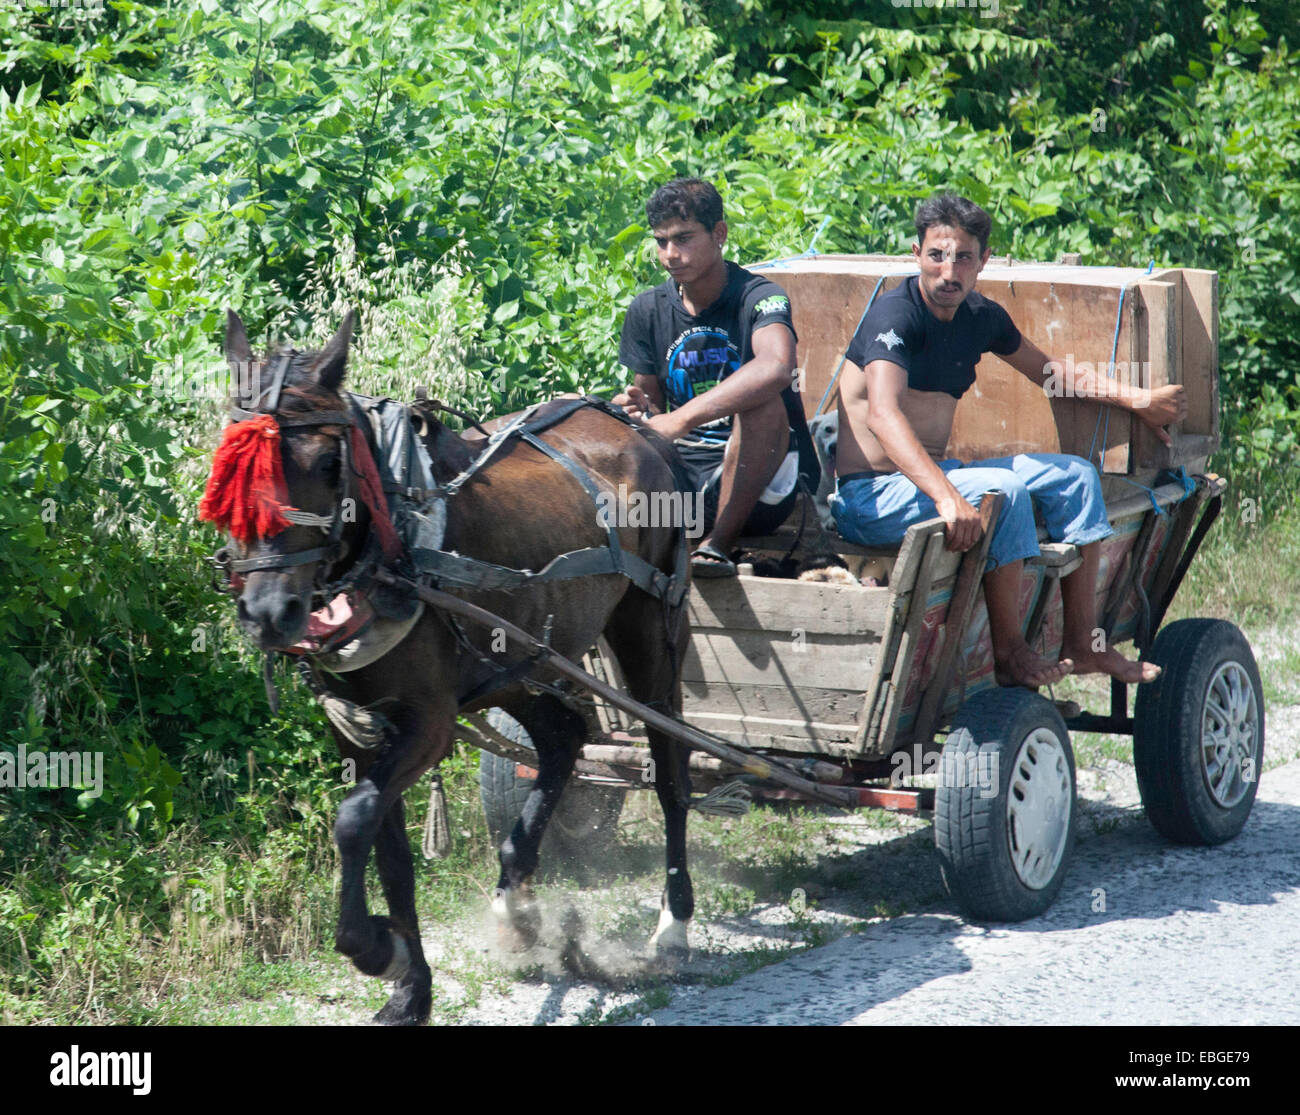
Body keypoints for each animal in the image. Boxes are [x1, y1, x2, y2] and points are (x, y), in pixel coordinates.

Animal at [202, 309, 694, 1025]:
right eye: (229, 471)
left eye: (327, 462)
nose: (271, 611)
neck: (389, 547)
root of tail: (641, 430)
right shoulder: (359, 729)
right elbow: (387, 849)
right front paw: (411, 985)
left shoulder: (428, 724)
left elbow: (353, 822)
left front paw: (374, 950)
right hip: (516, 658)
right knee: (562, 738)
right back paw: (516, 903)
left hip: (649, 626)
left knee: (670, 766)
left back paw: (674, 923)